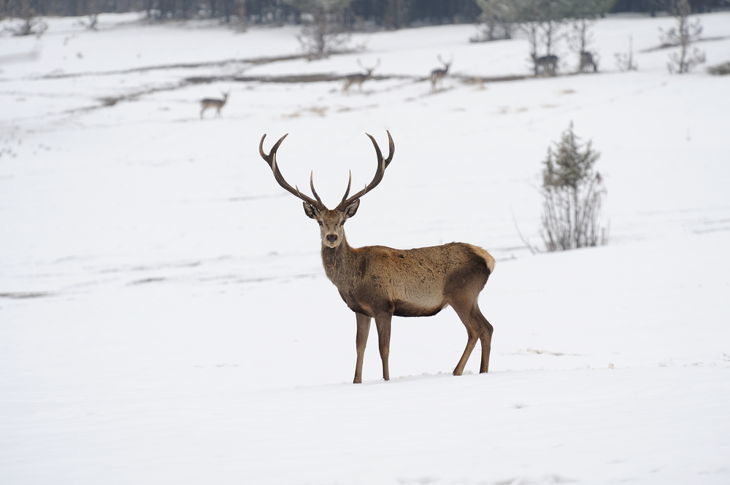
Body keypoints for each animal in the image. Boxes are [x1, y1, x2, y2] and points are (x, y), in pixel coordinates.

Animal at [256, 130, 494, 384]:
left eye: (342, 221)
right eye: (320, 221)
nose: (331, 237)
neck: (353, 279)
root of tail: (488, 259)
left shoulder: (383, 305)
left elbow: (384, 348)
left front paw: (386, 379)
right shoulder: (360, 310)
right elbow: (359, 347)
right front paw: (356, 381)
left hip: (462, 293)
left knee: (477, 329)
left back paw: (460, 371)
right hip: (470, 296)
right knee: (487, 328)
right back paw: (477, 371)